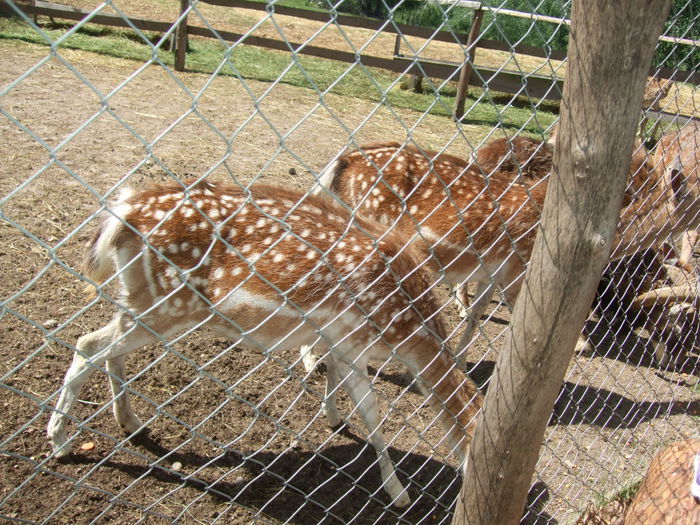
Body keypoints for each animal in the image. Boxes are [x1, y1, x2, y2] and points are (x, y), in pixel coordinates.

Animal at [46, 180, 484, 508]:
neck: (407, 332)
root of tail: (120, 213)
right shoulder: (353, 338)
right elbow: (374, 417)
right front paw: (399, 494)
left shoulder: (336, 339)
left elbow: (334, 380)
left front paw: (332, 418)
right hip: (164, 304)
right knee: (86, 343)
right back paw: (60, 441)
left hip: (141, 301)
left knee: (106, 348)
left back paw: (130, 423)